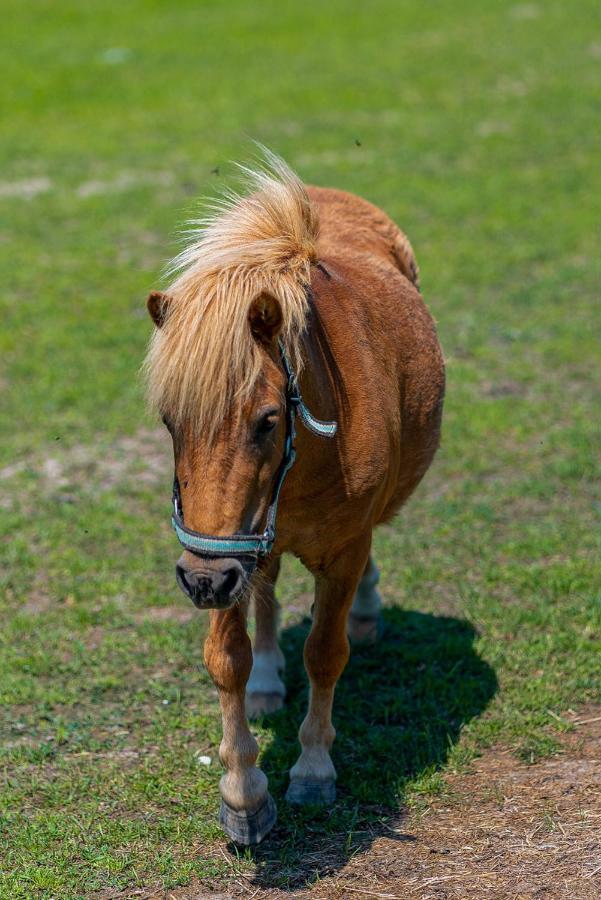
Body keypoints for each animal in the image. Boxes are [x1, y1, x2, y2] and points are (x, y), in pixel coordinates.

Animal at [144, 153, 446, 844]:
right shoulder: (227, 549)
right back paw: (266, 680)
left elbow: (325, 654)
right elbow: (226, 658)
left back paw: (366, 614)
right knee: (266, 593)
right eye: (170, 421)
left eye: (266, 420)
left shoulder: (340, 550)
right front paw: (244, 795)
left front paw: (312, 771)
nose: (201, 581)